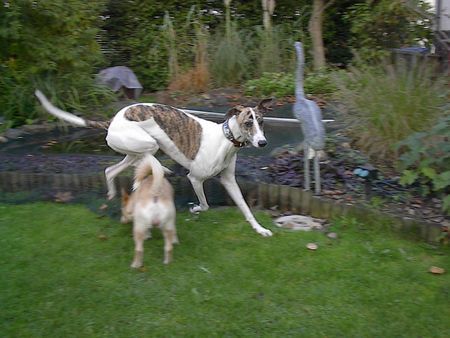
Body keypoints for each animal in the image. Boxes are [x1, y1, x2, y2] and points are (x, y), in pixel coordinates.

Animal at [33, 90, 272, 238]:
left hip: (132, 150)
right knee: (146, 166)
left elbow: (245, 208)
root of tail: (113, 119)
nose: (263, 143)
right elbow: (205, 205)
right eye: (248, 123)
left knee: (111, 170)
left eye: (261, 121)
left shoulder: (229, 181)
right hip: (149, 144)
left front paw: (260, 230)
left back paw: (113, 192)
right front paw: (195, 208)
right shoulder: (195, 178)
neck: (225, 139)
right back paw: (160, 173)